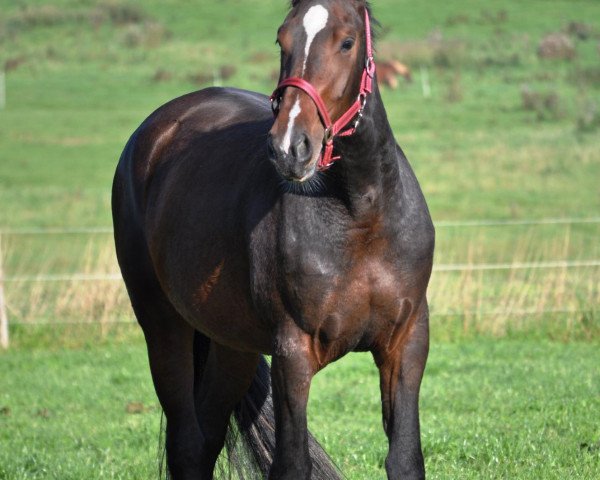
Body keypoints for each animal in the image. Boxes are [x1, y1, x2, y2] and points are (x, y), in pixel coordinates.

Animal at [111, 1, 432, 478]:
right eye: (282, 39)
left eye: (347, 42)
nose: (290, 148)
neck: (360, 215)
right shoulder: (292, 354)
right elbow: (293, 463)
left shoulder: (406, 343)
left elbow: (405, 458)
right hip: (163, 324)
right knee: (185, 442)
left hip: (233, 347)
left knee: (205, 438)